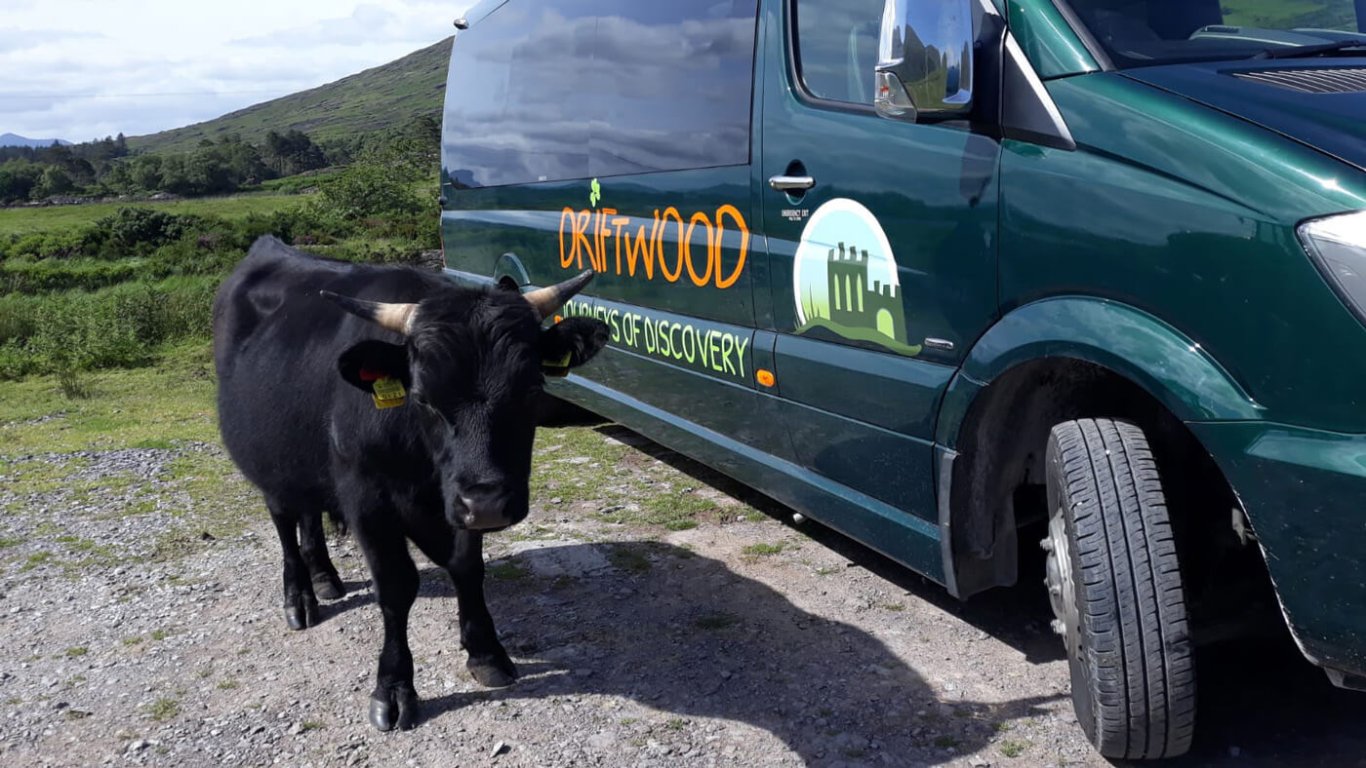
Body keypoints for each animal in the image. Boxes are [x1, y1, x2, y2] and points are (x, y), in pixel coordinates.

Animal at [210, 236, 606, 727]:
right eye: (422, 397)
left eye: (533, 388)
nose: (490, 505)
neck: (420, 461)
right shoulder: (367, 500)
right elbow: (397, 586)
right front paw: (394, 688)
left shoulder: (455, 497)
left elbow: (467, 567)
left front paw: (486, 652)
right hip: (269, 463)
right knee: (285, 521)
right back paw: (299, 597)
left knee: (309, 513)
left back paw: (324, 575)